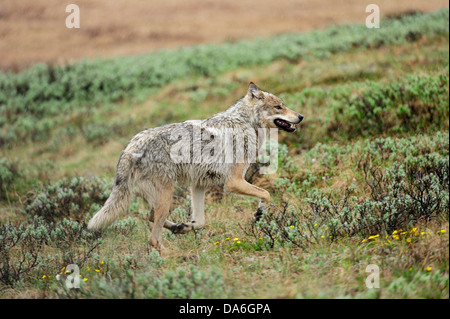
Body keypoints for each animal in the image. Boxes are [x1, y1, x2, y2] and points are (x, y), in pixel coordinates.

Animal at [88, 84, 304, 256]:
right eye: (279, 106)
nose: (301, 116)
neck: (245, 124)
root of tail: (131, 146)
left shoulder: (198, 185)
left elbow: (199, 221)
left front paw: (184, 227)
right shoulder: (232, 182)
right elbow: (266, 193)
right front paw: (259, 213)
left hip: (161, 199)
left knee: (150, 218)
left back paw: (177, 228)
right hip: (167, 196)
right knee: (153, 238)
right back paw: (175, 256)